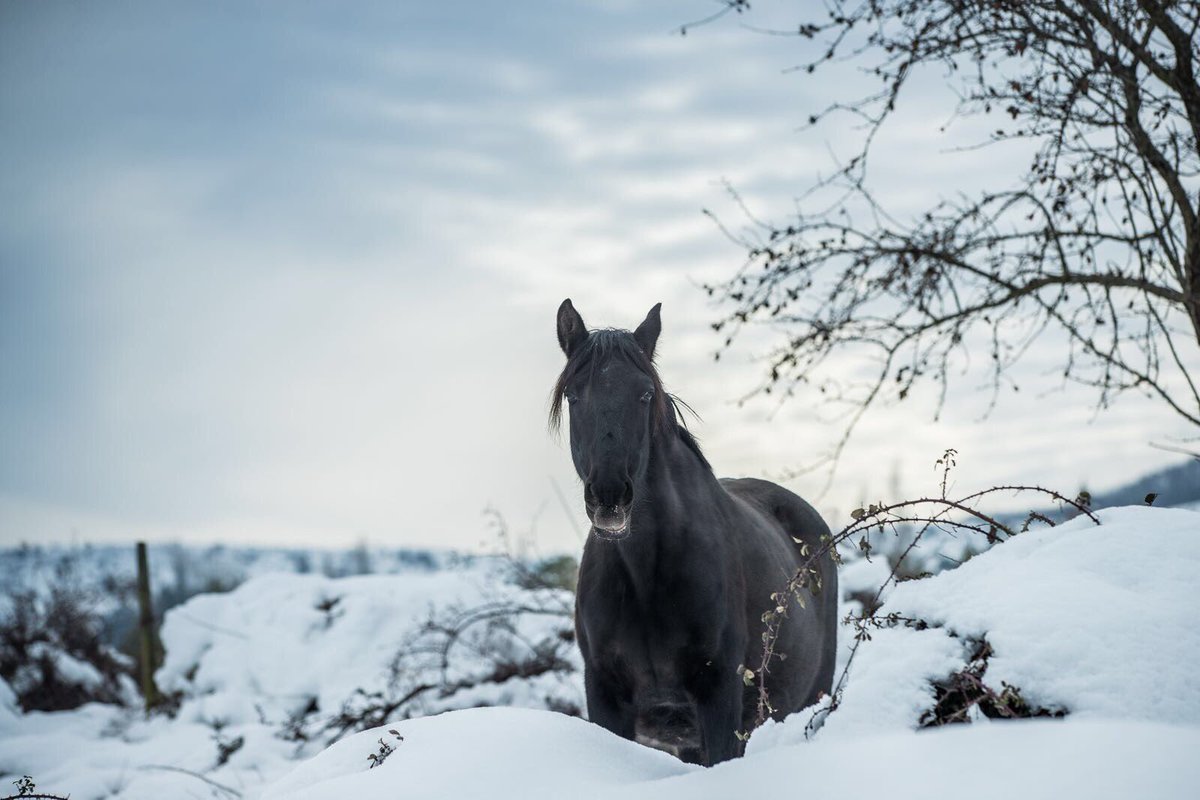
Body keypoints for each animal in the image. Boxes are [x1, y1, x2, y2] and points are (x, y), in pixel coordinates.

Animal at [549, 299, 839, 766]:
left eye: (645, 394)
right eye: (574, 395)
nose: (610, 496)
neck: (645, 577)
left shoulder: (719, 696)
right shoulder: (605, 696)